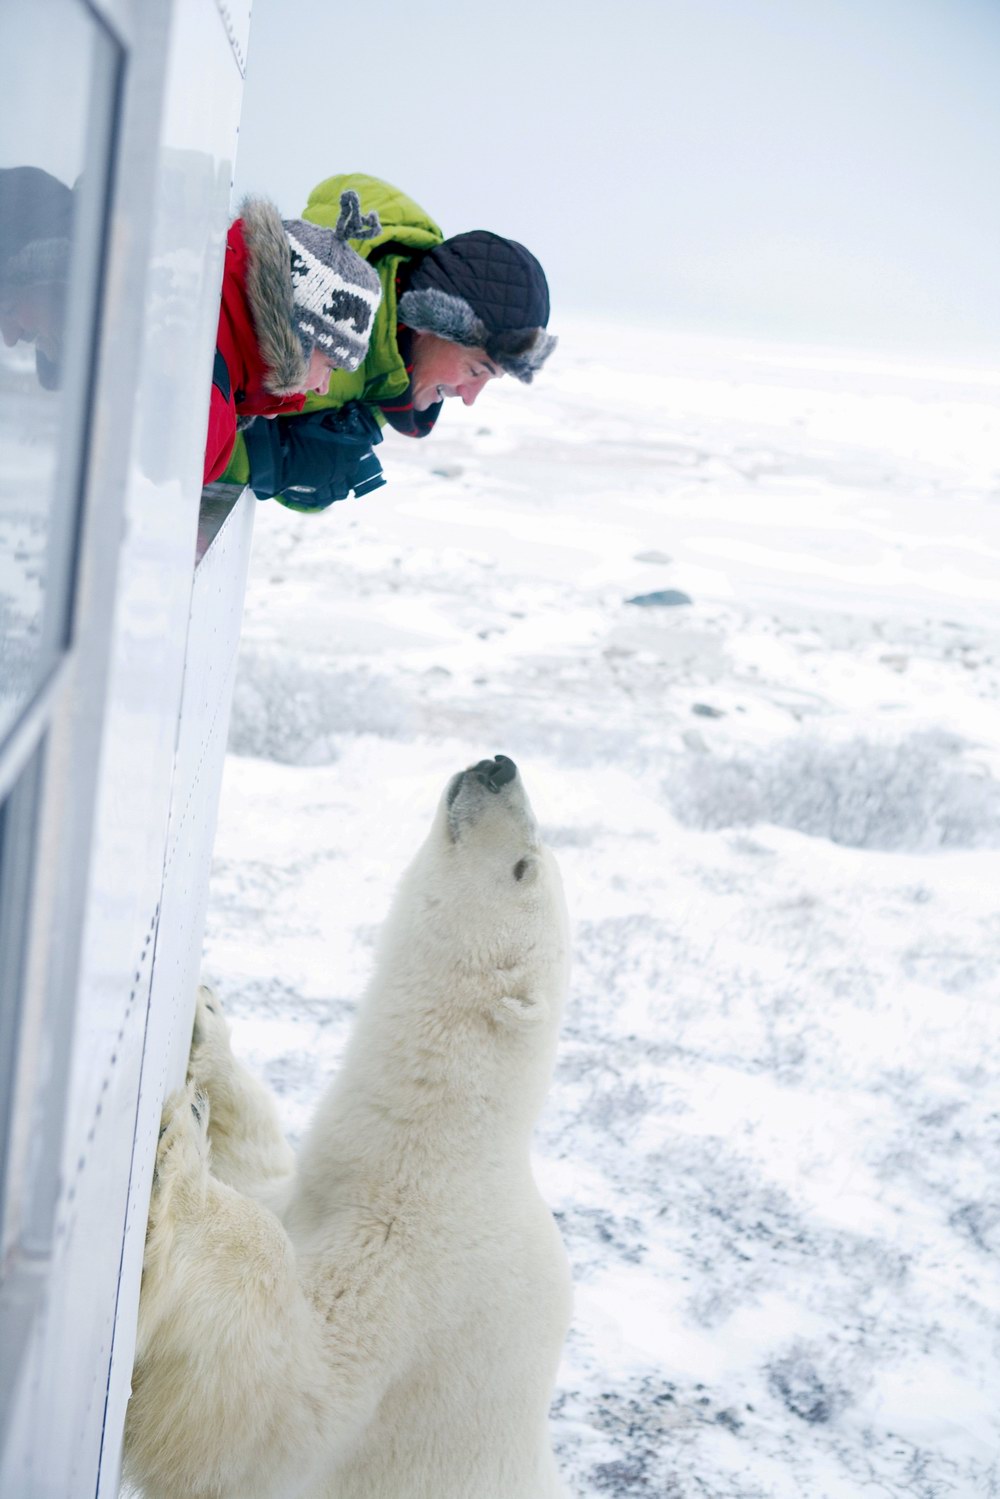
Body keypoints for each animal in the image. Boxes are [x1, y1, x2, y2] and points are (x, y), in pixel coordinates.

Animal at [127, 755, 569, 1499]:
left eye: (523, 867)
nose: (498, 765)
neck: (425, 1150)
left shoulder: (417, 1281)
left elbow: (289, 1406)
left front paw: (181, 1174)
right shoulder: (320, 1190)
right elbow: (265, 1169)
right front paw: (207, 1031)